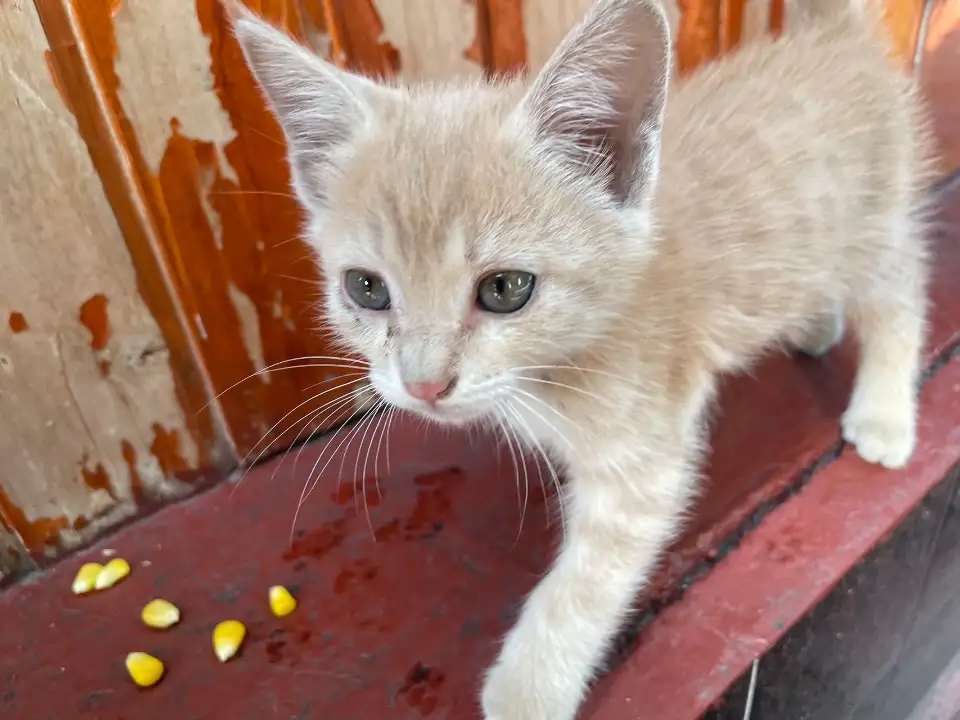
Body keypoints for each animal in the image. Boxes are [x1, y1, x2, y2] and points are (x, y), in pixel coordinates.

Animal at [236, 0, 932, 716]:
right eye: (366, 289)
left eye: (506, 289)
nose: (424, 385)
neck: (553, 370)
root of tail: (836, 34)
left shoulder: (644, 465)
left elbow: (585, 585)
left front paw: (528, 686)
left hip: (875, 224)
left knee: (899, 294)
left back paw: (884, 414)